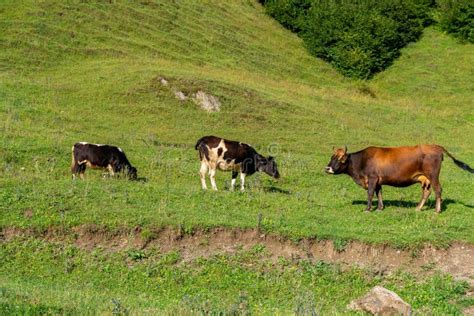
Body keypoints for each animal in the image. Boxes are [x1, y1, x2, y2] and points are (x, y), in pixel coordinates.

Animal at [326, 145, 474, 212]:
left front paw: (368, 209)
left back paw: (437, 210)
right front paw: (380, 208)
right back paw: (418, 208)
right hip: (425, 178)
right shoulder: (378, 180)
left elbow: (370, 194)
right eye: (331, 157)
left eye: (339, 159)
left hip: (433, 175)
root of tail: (435, 146)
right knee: (427, 191)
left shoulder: (372, 178)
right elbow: (379, 193)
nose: (327, 168)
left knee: (438, 190)